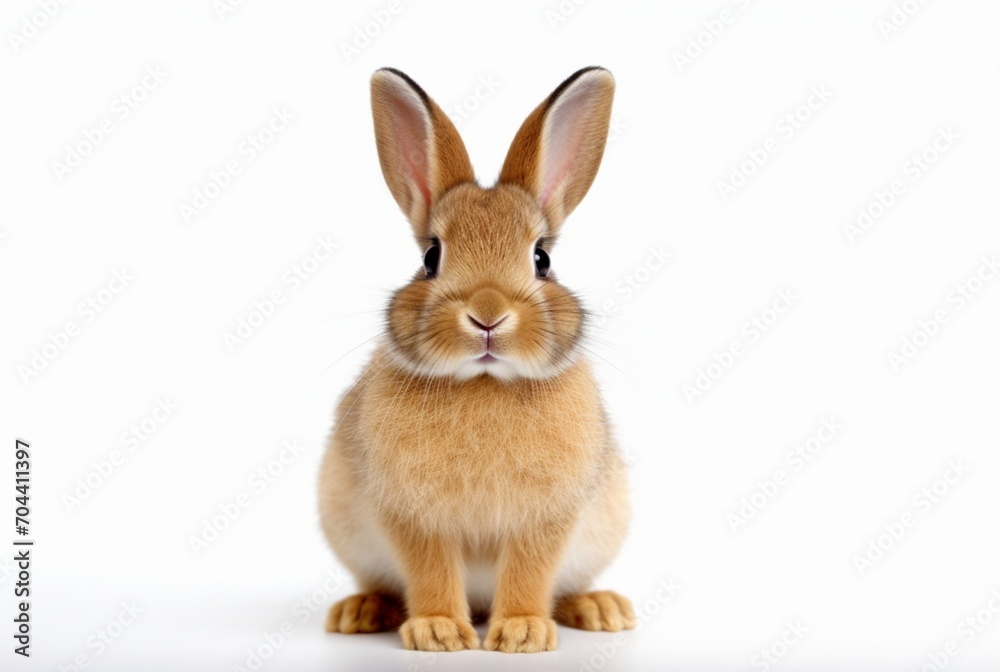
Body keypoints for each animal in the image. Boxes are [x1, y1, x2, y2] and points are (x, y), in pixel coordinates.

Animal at [318, 66, 633, 653]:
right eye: (430, 257)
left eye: (542, 258)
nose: (487, 315)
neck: (484, 383)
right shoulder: (413, 516)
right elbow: (430, 570)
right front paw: (439, 632)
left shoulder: (546, 517)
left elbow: (531, 570)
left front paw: (523, 633)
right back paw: (360, 611)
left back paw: (601, 608)